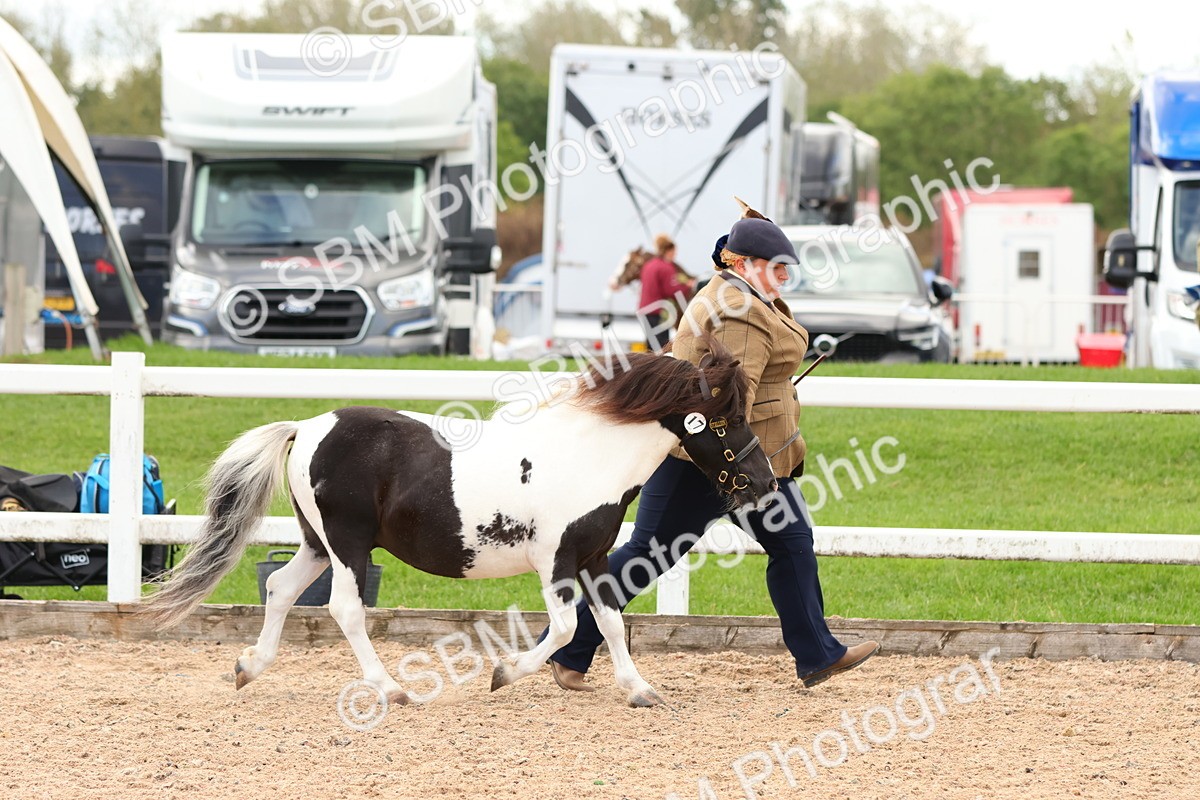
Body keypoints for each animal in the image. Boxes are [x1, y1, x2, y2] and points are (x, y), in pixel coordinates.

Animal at [141, 340, 776, 708]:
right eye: (726, 421)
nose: (766, 483)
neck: (587, 457)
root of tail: (305, 427)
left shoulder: (594, 558)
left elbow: (613, 623)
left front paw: (641, 690)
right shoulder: (555, 563)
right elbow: (566, 628)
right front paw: (504, 674)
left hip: (318, 543)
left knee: (277, 587)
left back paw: (248, 668)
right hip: (348, 544)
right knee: (344, 608)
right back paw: (392, 690)